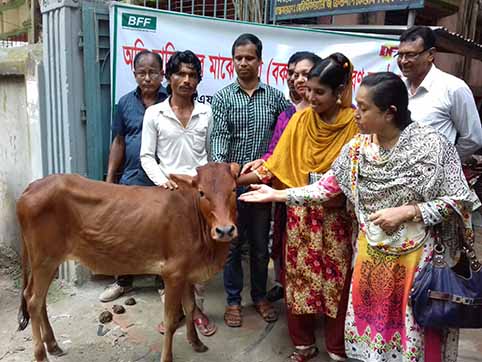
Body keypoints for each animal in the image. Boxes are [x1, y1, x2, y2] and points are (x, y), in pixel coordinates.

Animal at [16, 163, 239, 362]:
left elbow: (191, 307)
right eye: (202, 193)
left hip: (49, 261)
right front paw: (167, 357)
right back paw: (41, 355)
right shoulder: (173, 273)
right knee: (34, 301)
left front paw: (196, 342)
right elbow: (170, 321)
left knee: (36, 297)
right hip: (44, 260)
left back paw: (53, 344)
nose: (225, 230)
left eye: (234, 189)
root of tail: (32, 187)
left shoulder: (187, 273)